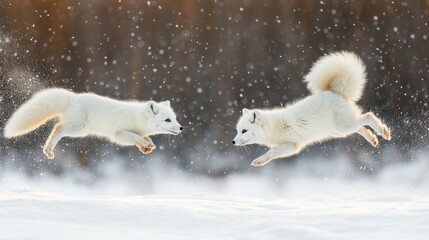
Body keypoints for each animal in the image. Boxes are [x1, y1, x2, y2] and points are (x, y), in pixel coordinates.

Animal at [4, 88, 183, 159]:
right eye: (167, 120)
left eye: (175, 118)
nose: (181, 128)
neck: (138, 119)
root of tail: (73, 97)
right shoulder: (119, 134)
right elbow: (135, 137)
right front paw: (145, 144)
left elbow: (143, 139)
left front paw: (147, 147)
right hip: (79, 128)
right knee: (58, 127)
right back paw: (48, 150)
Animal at [232, 51, 390, 166]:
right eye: (237, 131)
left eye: (244, 130)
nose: (232, 142)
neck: (273, 127)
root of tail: (336, 93)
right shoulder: (290, 146)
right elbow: (273, 152)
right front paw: (260, 161)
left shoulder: (293, 145)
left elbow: (272, 151)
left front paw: (259, 161)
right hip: (339, 131)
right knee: (362, 127)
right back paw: (373, 140)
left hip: (343, 127)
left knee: (368, 116)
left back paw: (384, 132)